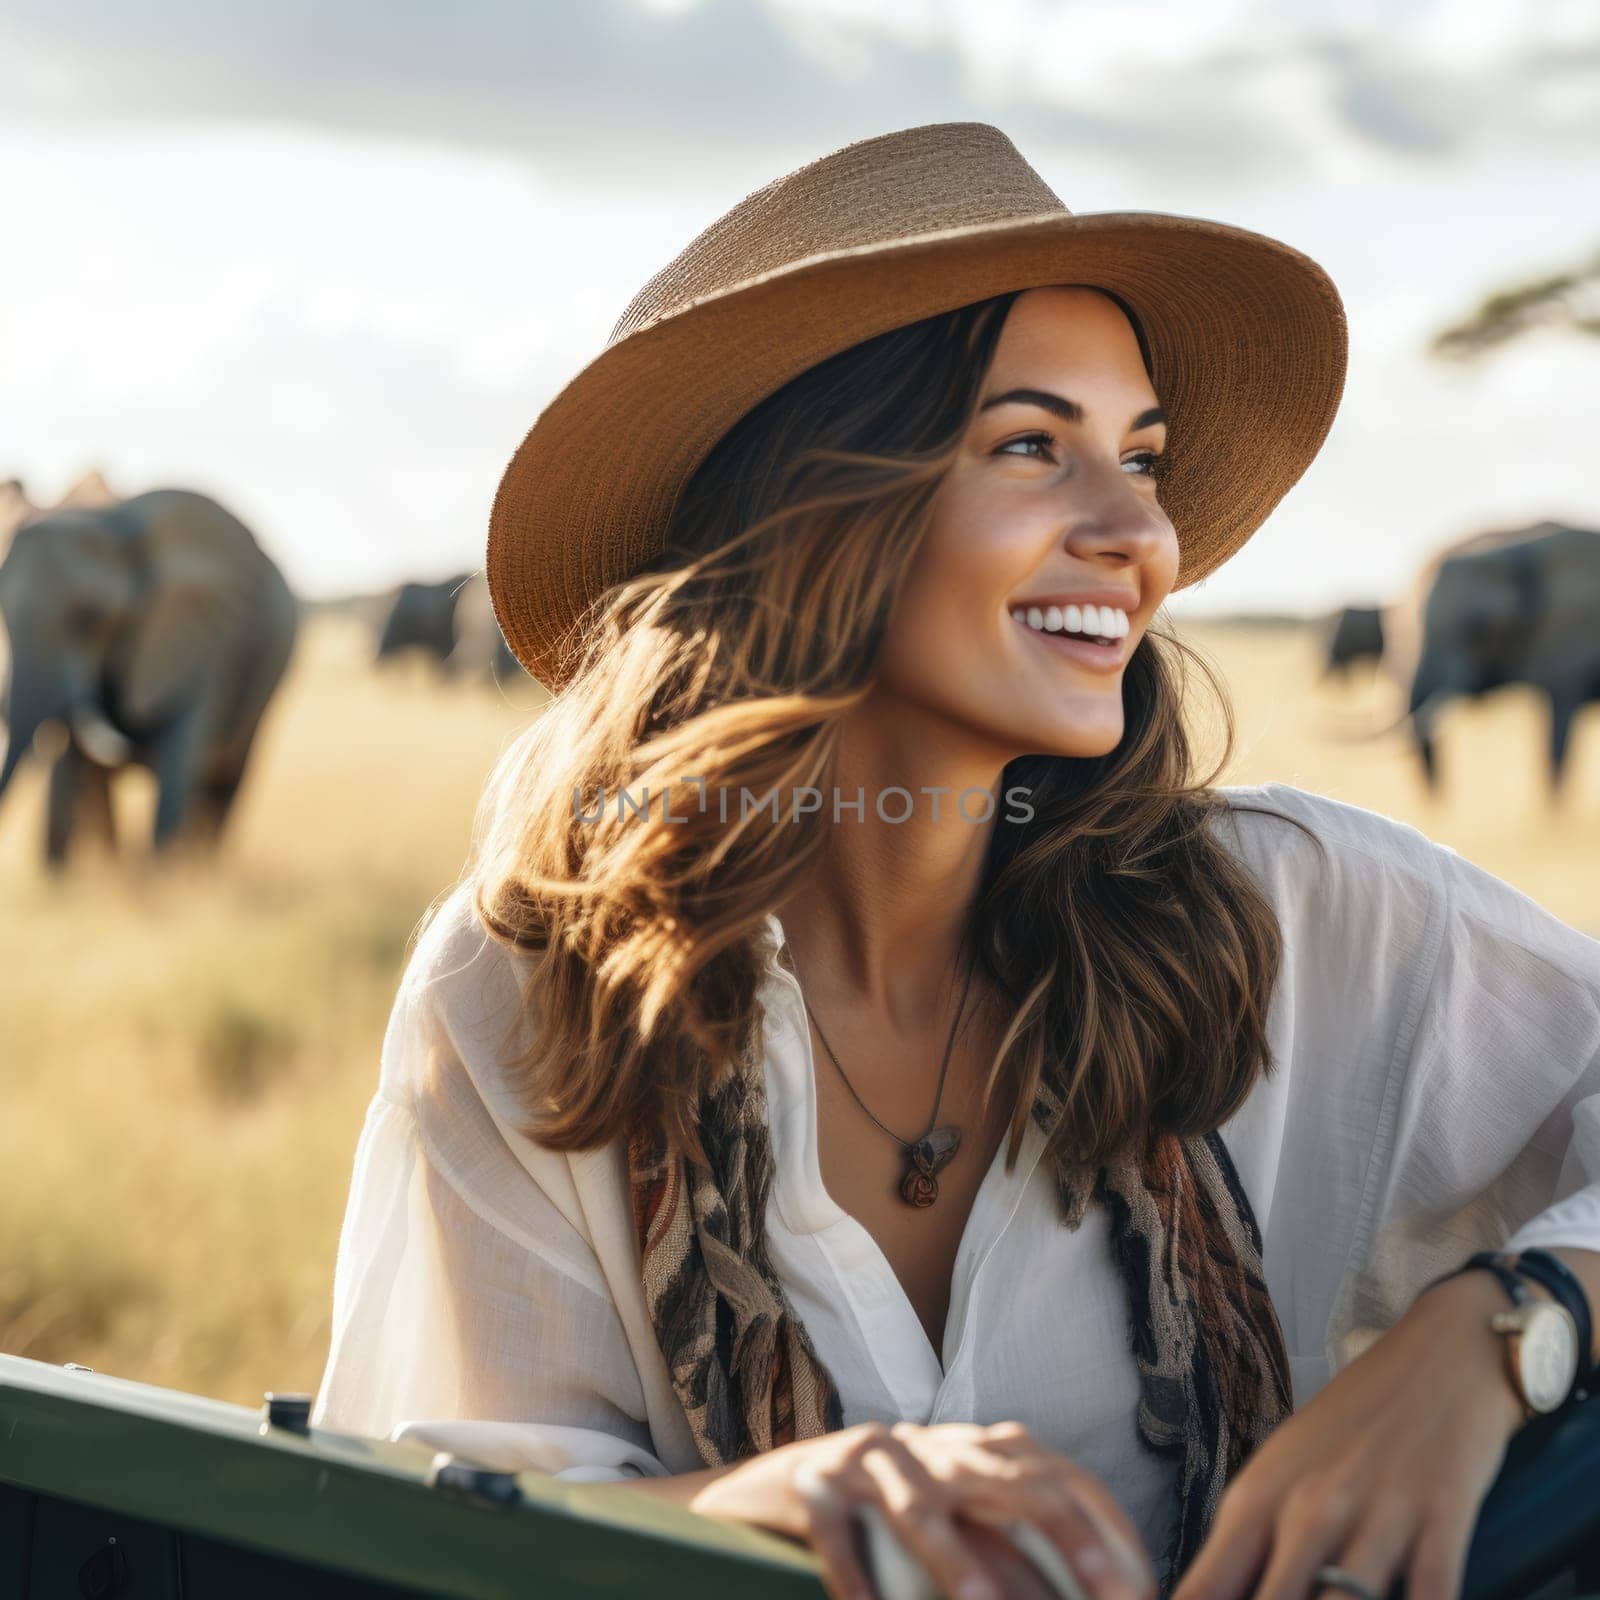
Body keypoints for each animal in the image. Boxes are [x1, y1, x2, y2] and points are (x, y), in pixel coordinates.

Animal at [0, 486, 300, 870]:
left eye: (91, 621)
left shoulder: (206, 642)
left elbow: (176, 764)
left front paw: (160, 882)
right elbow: (74, 768)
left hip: (268, 681)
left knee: (222, 784)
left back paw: (204, 868)